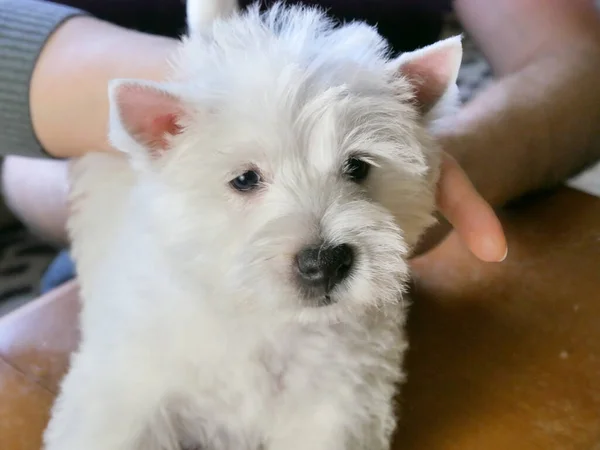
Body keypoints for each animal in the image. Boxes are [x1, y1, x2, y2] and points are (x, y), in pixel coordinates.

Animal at [44, 1, 462, 448]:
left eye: (357, 167)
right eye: (245, 179)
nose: (324, 263)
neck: (264, 319)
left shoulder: (339, 401)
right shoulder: (126, 391)